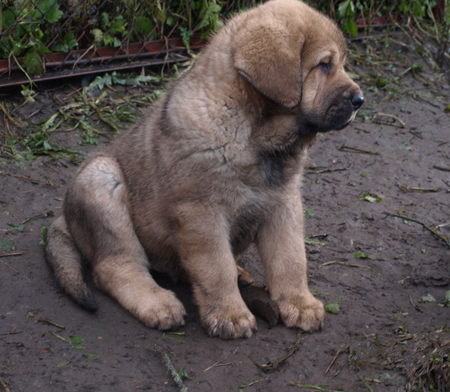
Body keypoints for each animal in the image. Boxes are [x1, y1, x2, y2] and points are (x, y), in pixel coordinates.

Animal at [44, 0, 362, 338]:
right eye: (324, 65)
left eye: (340, 64)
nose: (360, 100)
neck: (254, 136)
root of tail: (64, 217)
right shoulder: (200, 212)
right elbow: (216, 267)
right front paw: (229, 314)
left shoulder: (283, 203)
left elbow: (290, 259)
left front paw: (300, 303)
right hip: (102, 179)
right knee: (116, 266)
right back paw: (157, 303)